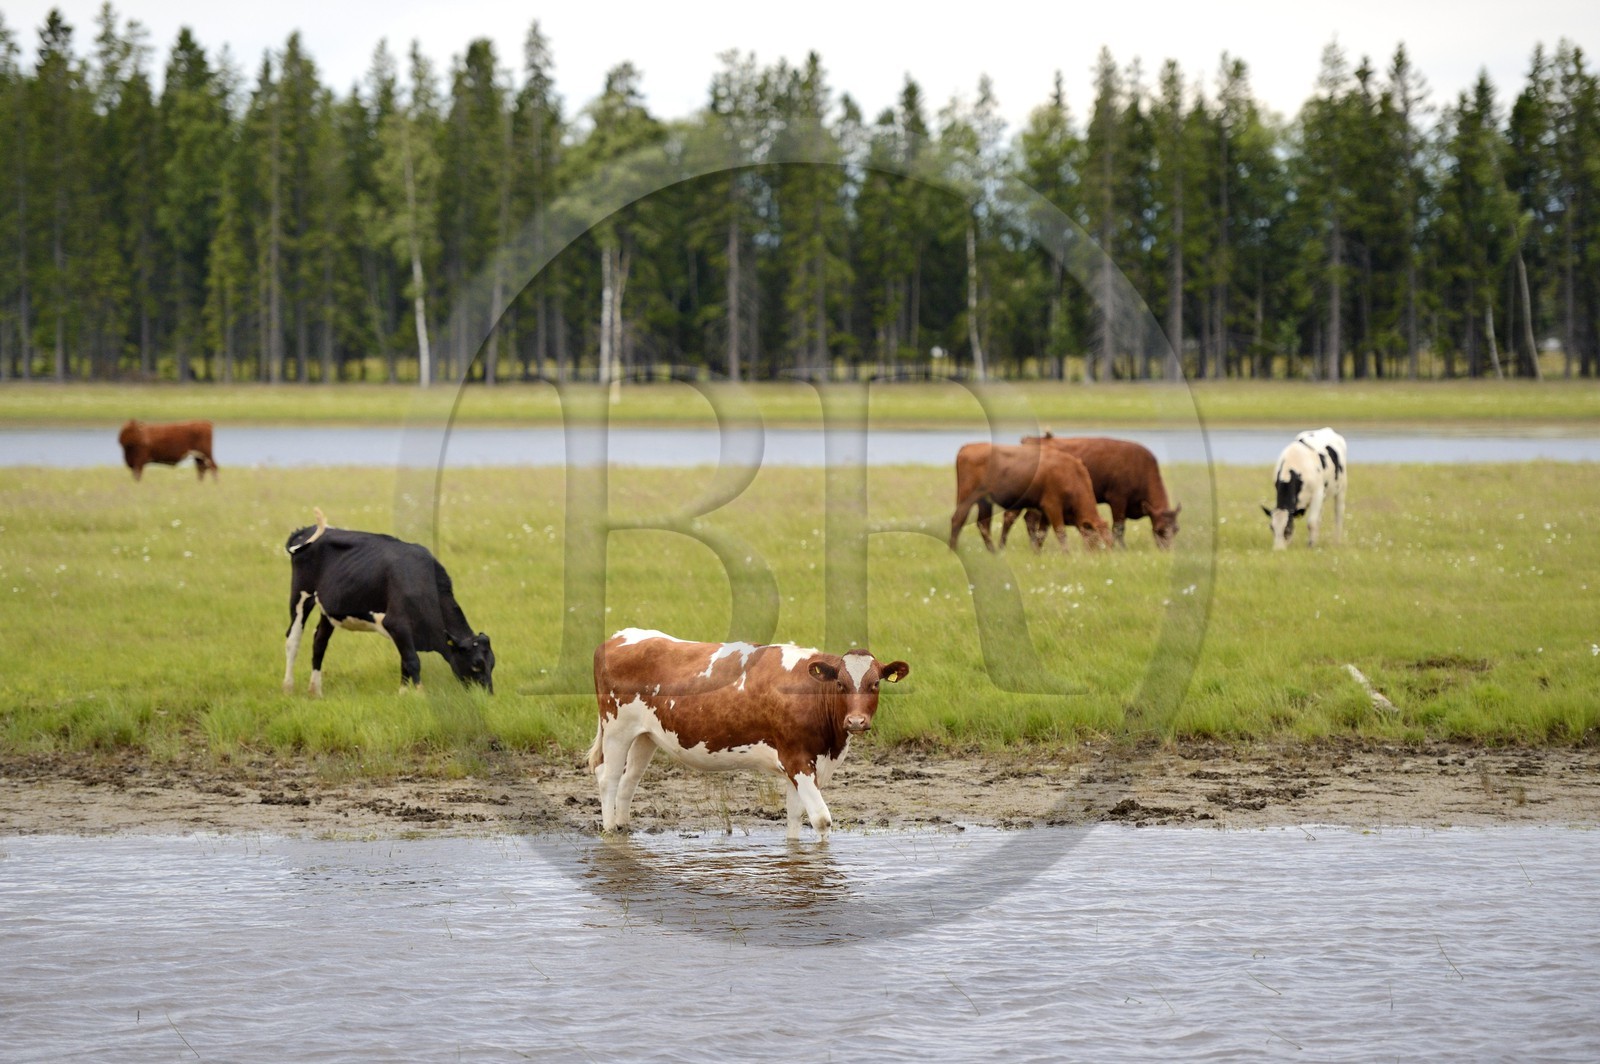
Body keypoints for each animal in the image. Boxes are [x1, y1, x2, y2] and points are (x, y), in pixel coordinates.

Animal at [282, 508, 494, 695]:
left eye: (492, 664)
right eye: (476, 665)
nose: (488, 695)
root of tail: (305, 530)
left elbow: (405, 663)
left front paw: (403, 694)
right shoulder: (397, 624)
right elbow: (413, 661)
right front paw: (420, 695)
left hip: (329, 608)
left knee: (319, 642)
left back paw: (316, 691)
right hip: (301, 596)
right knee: (293, 639)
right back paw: (288, 687)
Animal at [590, 628, 909, 839]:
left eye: (875, 684)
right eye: (840, 684)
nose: (855, 721)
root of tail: (619, 636)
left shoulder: (801, 765)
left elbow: (795, 818)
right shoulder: (798, 760)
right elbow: (821, 820)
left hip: (645, 735)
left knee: (629, 780)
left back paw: (624, 827)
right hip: (616, 727)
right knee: (608, 777)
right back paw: (610, 831)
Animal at [949, 441, 1112, 552]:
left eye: (1110, 542)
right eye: (1099, 539)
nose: (1105, 558)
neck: (1071, 474)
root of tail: (969, 447)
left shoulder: (1045, 512)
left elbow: (1041, 534)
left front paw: (1037, 553)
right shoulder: (1052, 506)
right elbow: (1060, 532)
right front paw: (1067, 554)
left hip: (984, 501)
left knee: (983, 524)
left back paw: (993, 553)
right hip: (967, 497)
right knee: (958, 519)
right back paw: (953, 551)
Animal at [1005, 434, 1181, 550]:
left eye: (1176, 529)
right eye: (1159, 529)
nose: (1167, 551)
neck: (1140, 466)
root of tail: (1029, 440)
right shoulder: (1117, 499)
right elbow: (1118, 528)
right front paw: (1122, 549)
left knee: (1029, 518)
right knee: (1014, 517)